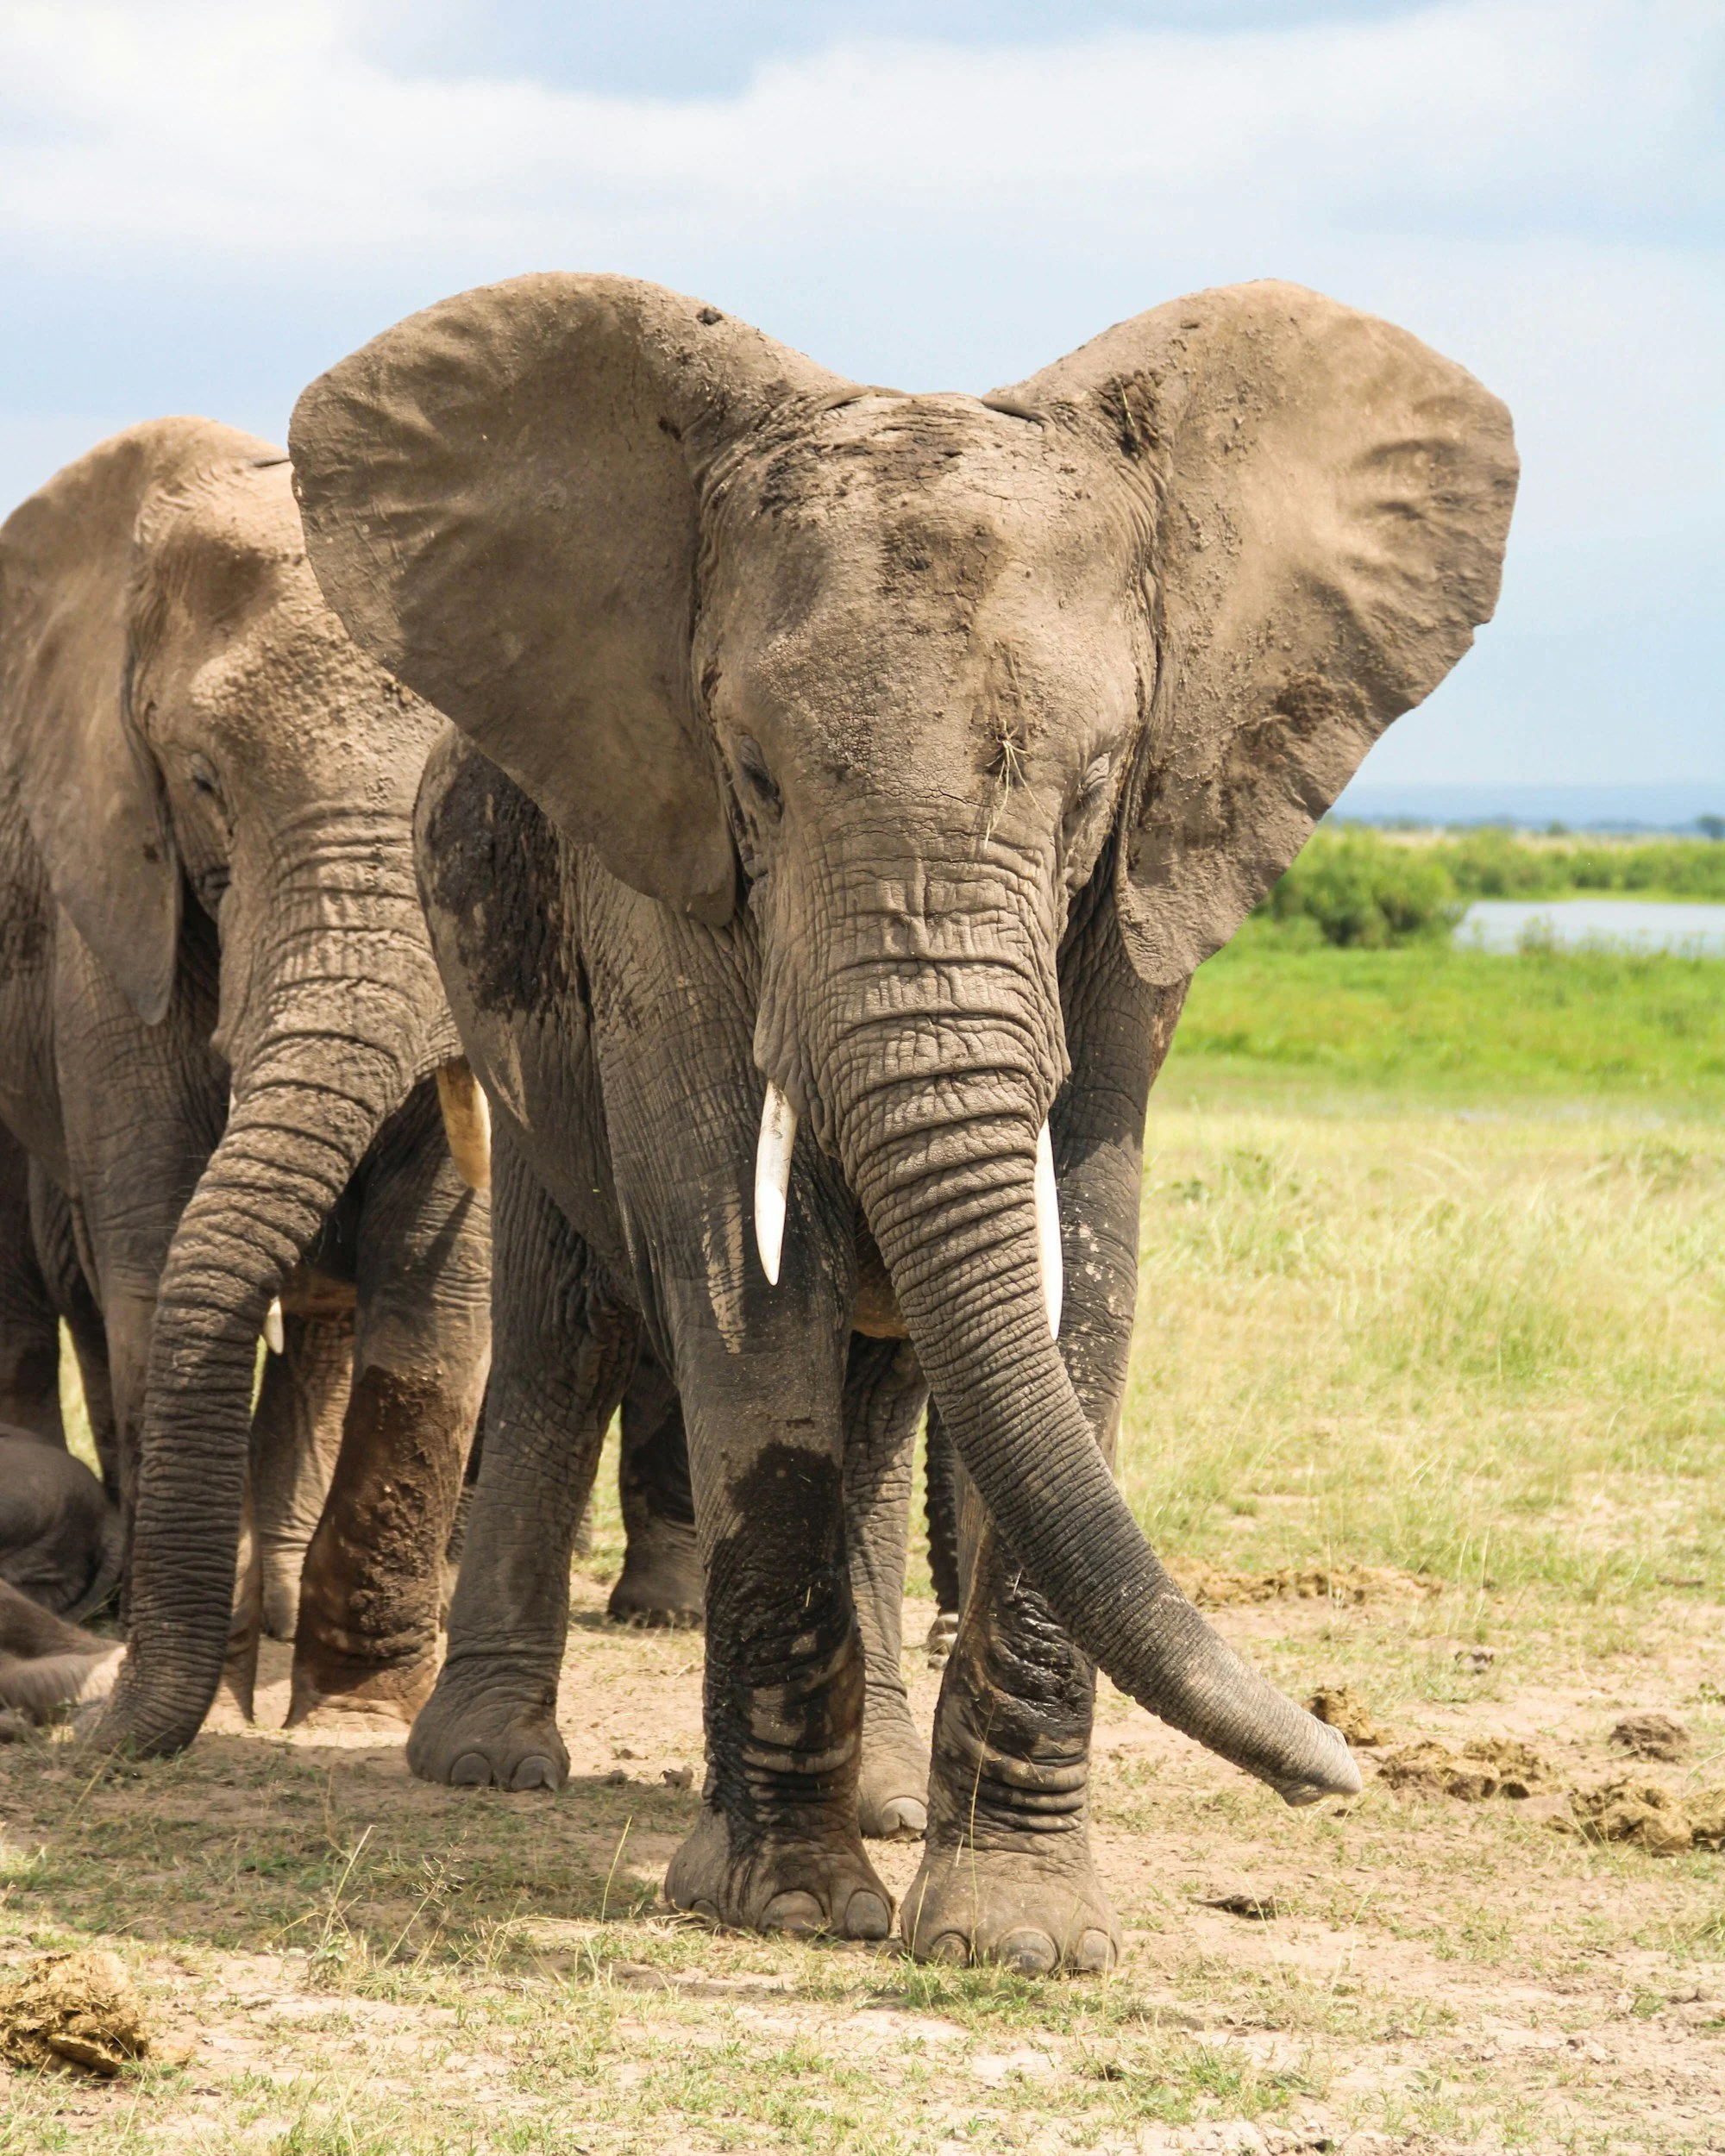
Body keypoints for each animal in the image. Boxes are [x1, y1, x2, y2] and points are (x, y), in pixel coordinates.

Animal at [0, 419, 493, 1754]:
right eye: (206, 782)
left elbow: (435, 1266)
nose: (100, 1731)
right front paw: (200, 1702)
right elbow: (155, 1238)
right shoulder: (109, 891)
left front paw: (355, 1724)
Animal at [290, 273, 1516, 1966]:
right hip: (494, 979)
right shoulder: (658, 865)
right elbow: (738, 1281)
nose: (1339, 1767)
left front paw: (1012, 1940)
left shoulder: (1143, 892)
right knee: (567, 1324)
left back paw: (871, 1797)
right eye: (754, 777)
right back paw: (489, 1763)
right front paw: (788, 1910)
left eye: (1096, 782)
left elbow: (1086, 1265)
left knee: (877, 1386)